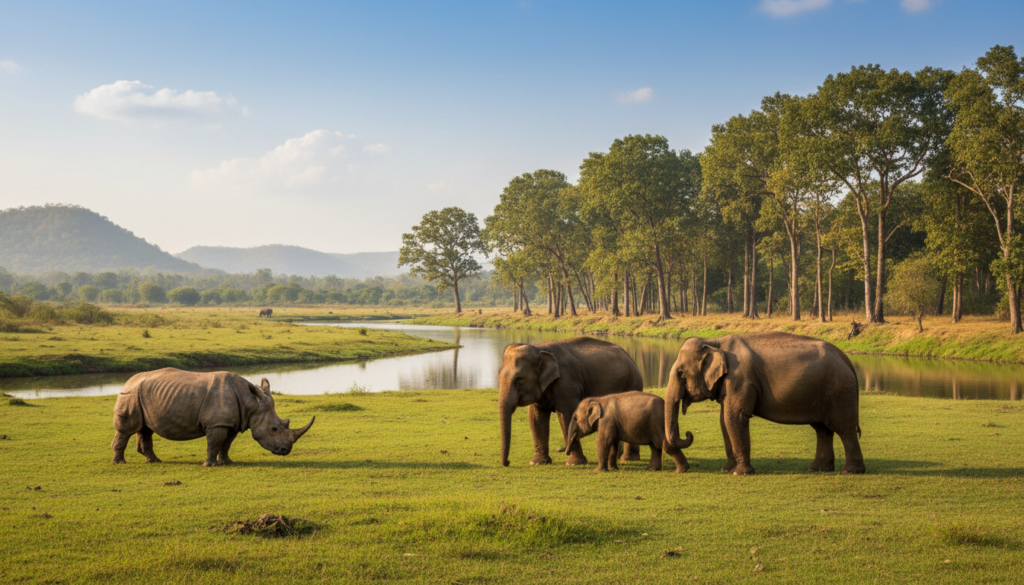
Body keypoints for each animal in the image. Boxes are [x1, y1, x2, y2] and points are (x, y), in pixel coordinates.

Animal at [111, 367, 314, 467]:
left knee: (145, 429)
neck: (251, 403)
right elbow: (214, 443)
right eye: (274, 429)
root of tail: (127, 381)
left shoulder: (231, 423)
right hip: (130, 394)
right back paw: (120, 462)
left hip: (142, 395)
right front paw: (209, 465)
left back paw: (154, 461)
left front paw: (227, 463)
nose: (285, 450)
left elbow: (226, 444)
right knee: (126, 430)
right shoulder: (217, 423)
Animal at [498, 337, 644, 467]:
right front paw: (537, 462)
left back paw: (628, 459)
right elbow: (536, 418)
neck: (539, 348)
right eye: (498, 376)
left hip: (633, 383)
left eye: (519, 379)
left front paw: (574, 463)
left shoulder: (567, 384)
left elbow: (567, 417)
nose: (508, 462)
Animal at [664, 332, 865, 475]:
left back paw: (850, 472)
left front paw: (740, 473)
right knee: (822, 429)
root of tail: (847, 359)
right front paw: (727, 469)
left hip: (839, 391)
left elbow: (734, 417)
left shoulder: (740, 379)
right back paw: (817, 469)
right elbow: (724, 420)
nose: (688, 433)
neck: (716, 342)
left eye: (681, 373)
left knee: (844, 429)